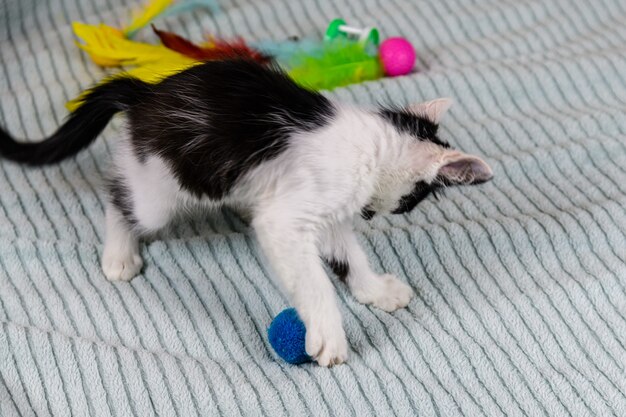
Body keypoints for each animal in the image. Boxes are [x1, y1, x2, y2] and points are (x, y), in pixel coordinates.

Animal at [0, 58, 490, 364]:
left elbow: (348, 256)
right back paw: (120, 253)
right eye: (411, 202)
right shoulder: (288, 218)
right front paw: (328, 333)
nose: (379, 215)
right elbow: (314, 280)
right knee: (121, 195)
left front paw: (375, 291)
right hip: (162, 183)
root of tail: (145, 93)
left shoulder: (328, 215)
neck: (371, 144)